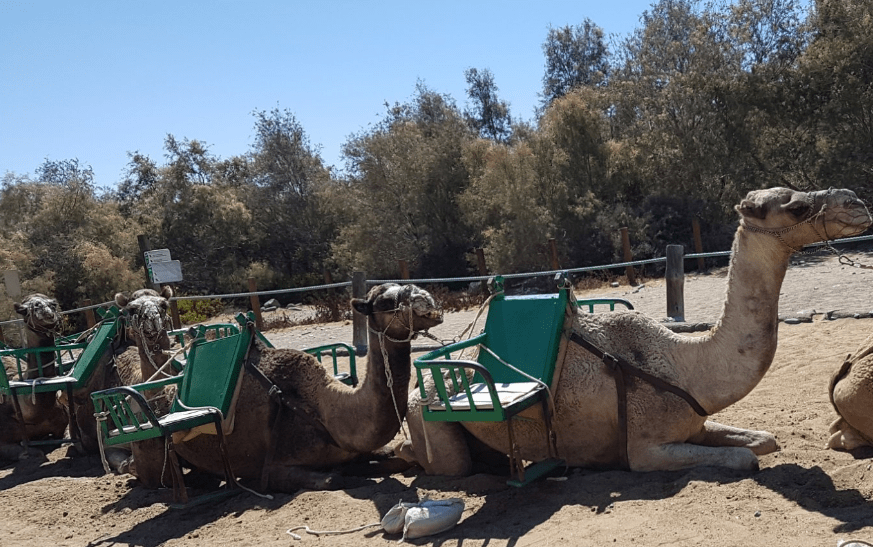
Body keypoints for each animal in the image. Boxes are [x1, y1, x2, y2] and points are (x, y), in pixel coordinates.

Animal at [132, 282, 446, 492]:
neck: (325, 410)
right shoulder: (272, 469)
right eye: (385, 301)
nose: (427, 301)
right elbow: (334, 477)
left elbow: (398, 458)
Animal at [398, 185, 868, 476]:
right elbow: (743, 460)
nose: (857, 203)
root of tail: (418, 389)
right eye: (796, 206)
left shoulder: (693, 426)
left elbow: (765, 440)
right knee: (445, 463)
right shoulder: (645, 448)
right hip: (427, 419)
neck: (686, 366)